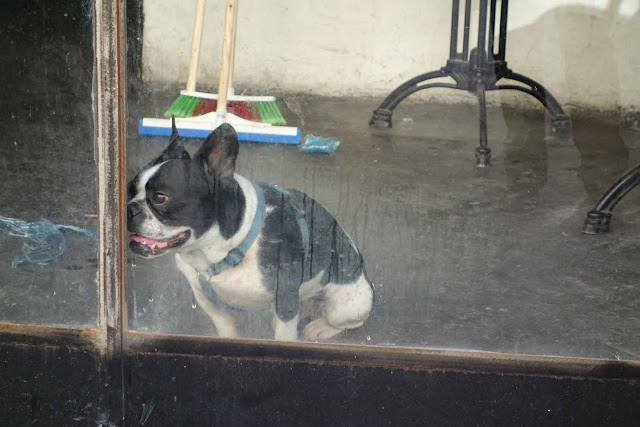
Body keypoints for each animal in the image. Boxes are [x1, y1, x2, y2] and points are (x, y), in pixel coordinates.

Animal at [127, 120, 372, 342]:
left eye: (160, 198)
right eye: (130, 189)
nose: (130, 208)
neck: (219, 250)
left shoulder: (284, 297)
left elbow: (283, 337)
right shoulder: (205, 297)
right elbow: (225, 326)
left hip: (349, 306)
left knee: (345, 322)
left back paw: (321, 328)